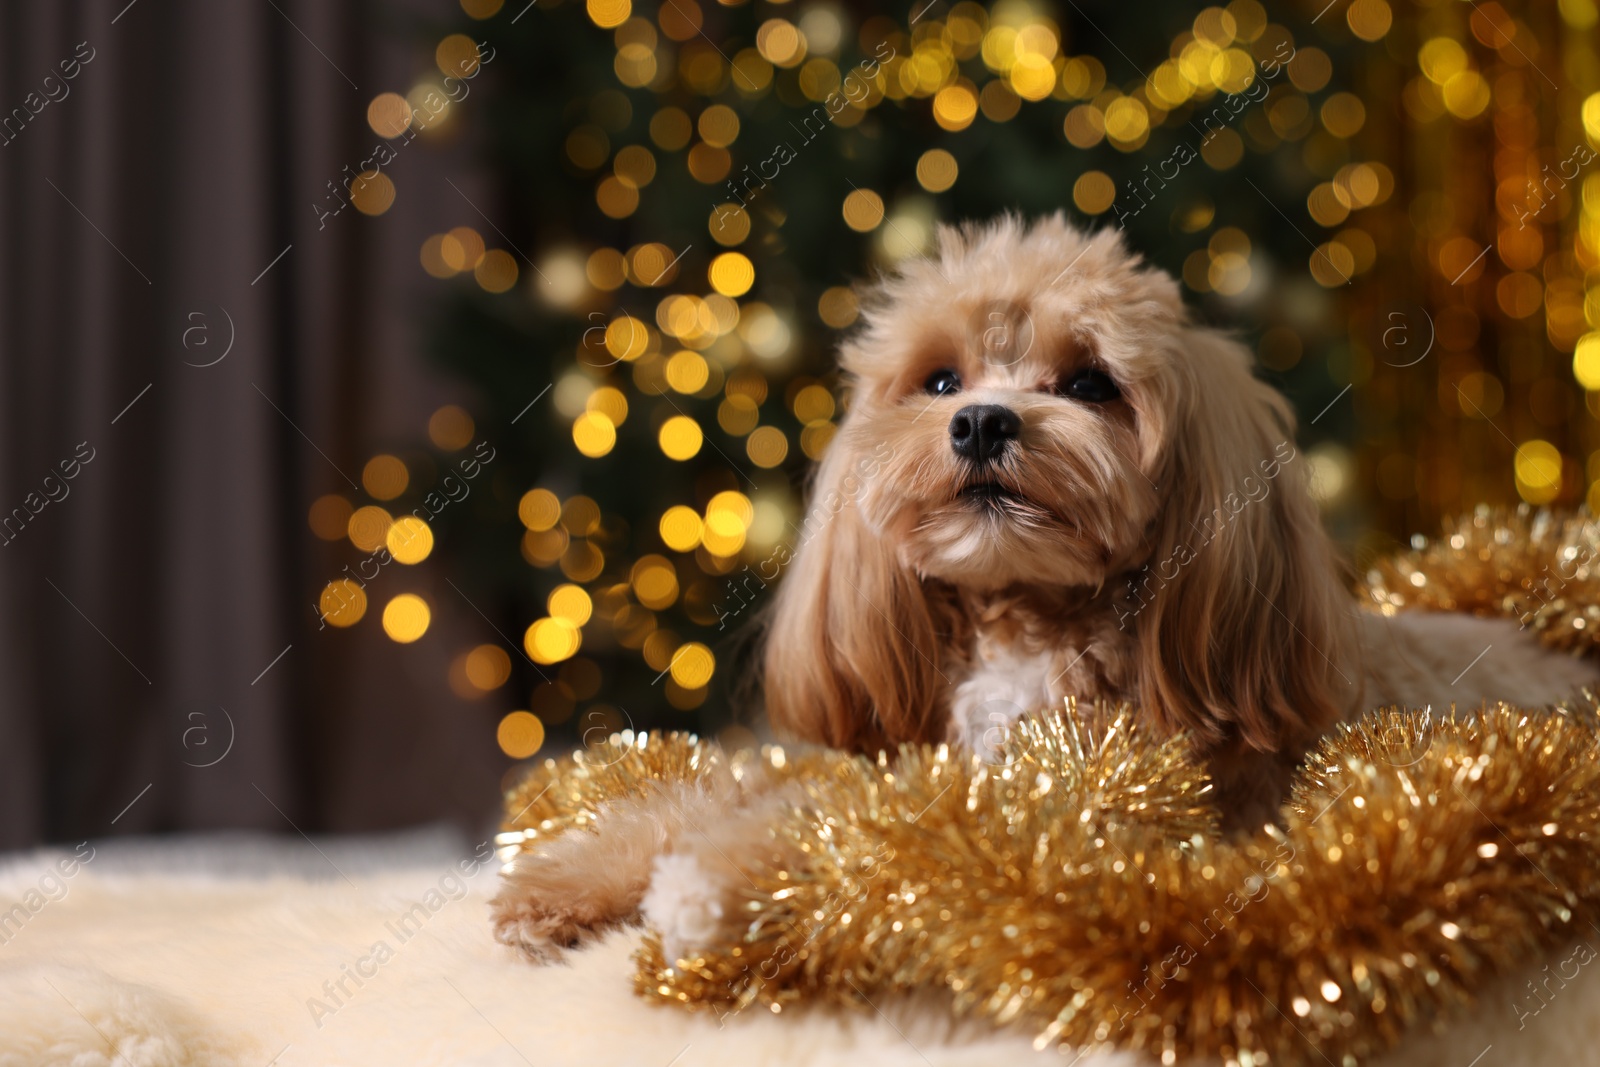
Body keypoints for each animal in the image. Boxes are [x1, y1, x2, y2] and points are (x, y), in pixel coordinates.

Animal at [492, 214, 1593, 959]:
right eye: (939, 379)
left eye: (1091, 384)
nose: (982, 420)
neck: (1025, 628)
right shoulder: (908, 749)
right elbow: (733, 784)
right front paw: (567, 875)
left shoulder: (1097, 806)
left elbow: (859, 828)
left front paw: (707, 888)